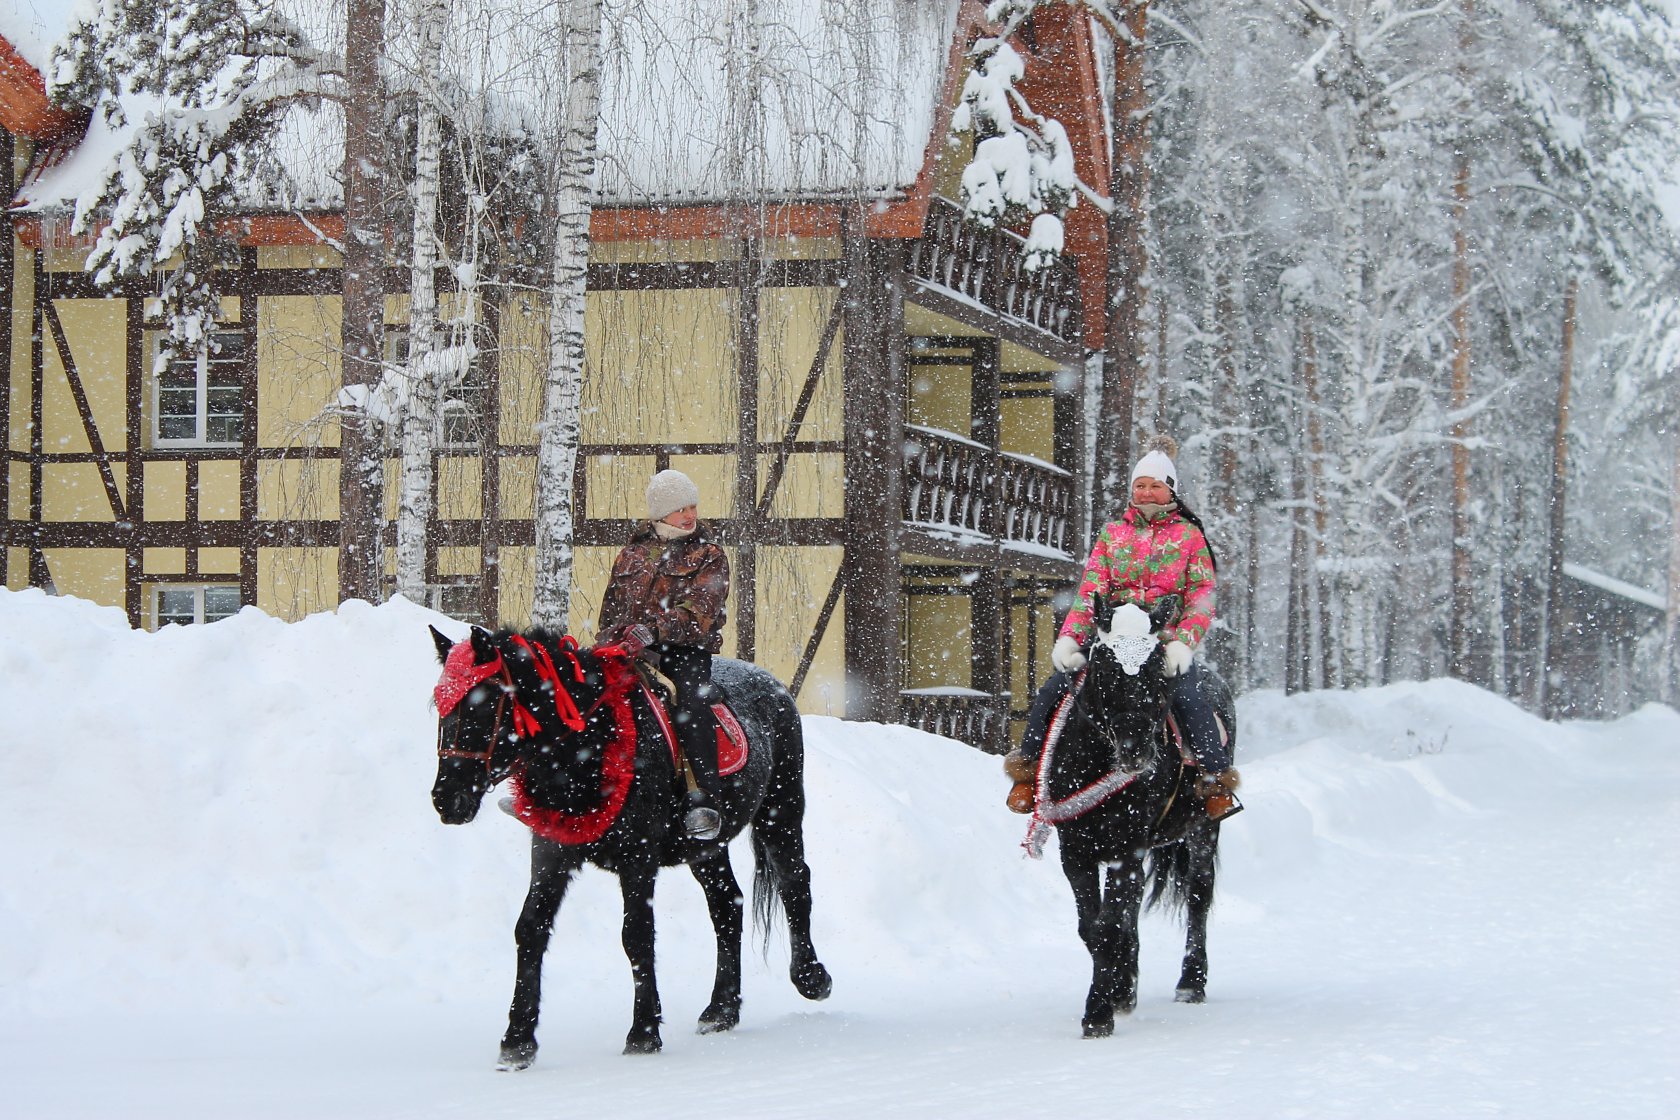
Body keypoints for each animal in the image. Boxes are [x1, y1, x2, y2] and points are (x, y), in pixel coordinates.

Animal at [430, 628, 829, 1074]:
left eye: (482, 705)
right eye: (441, 706)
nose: (445, 799)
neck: (591, 745)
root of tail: (775, 685)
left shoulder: (638, 859)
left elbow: (636, 935)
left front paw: (643, 1033)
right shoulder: (550, 851)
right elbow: (530, 929)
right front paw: (517, 1041)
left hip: (781, 812)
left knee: (795, 882)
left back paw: (812, 978)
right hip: (707, 848)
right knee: (728, 906)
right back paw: (721, 1009)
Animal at [1021, 591, 1236, 1041]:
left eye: (1156, 668)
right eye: (1104, 668)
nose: (1136, 750)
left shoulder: (1127, 847)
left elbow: (1109, 926)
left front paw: (1098, 1012)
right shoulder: (1077, 852)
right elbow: (1094, 927)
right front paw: (1118, 989)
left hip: (1204, 831)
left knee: (1198, 895)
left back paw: (1191, 983)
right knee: (1133, 909)